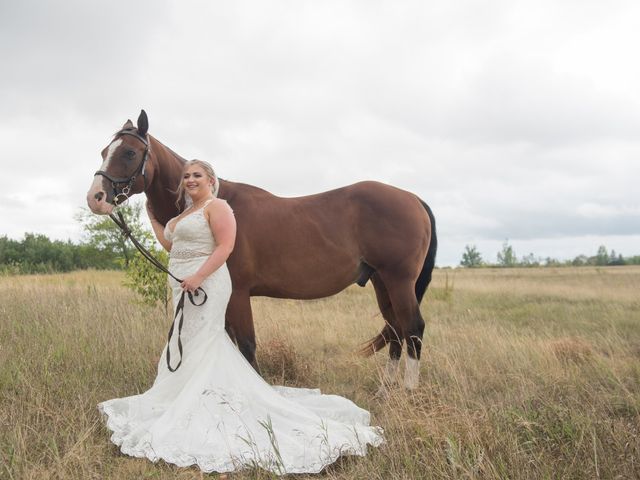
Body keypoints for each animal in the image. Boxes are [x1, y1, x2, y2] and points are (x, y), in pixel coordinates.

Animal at [87, 110, 438, 388]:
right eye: (104, 151)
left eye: (129, 153)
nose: (96, 197)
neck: (221, 205)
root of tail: (413, 199)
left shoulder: (239, 294)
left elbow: (246, 346)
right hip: (381, 281)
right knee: (395, 329)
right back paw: (386, 390)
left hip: (398, 280)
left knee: (412, 328)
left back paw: (408, 392)